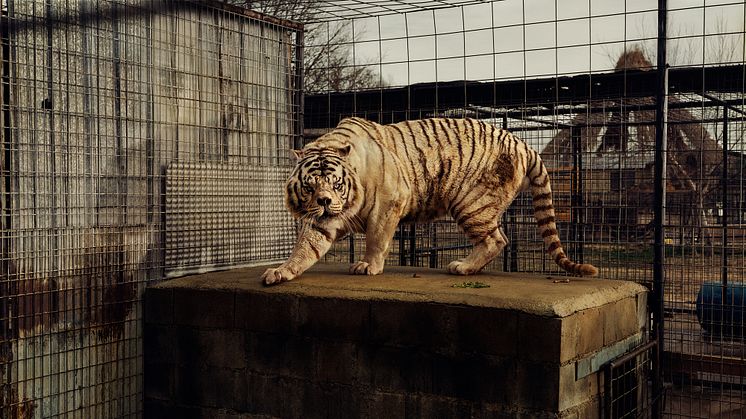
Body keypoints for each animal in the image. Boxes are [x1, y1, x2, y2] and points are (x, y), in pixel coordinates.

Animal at [258, 117, 596, 286]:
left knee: (497, 239)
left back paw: (462, 267)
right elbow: (306, 246)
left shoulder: (389, 201)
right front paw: (281, 272)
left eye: (335, 182)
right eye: (311, 185)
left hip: (471, 202)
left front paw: (368, 266)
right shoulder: (322, 219)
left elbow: (377, 238)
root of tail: (523, 143)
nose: (326, 201)